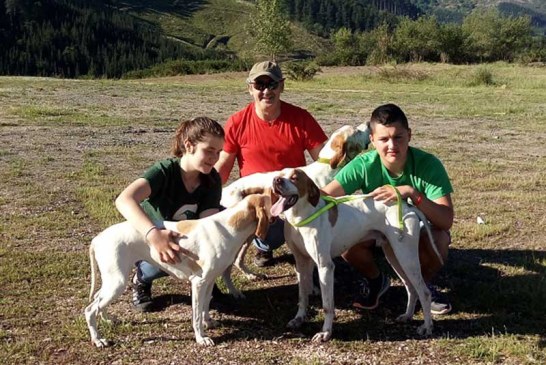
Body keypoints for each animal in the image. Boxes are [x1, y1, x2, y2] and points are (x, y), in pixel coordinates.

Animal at [85, 192, 272, 346]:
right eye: (274, 196)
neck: (229, 227)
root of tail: (97, 239)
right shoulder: (198, 283)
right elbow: (196, 315)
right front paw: (201, 338)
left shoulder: (209, 281)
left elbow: (205, 305)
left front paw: (208, 322)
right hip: (117, 283)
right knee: (90, 310)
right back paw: (98, 340)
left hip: (112, 282)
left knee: (97, 300)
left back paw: (108, 319)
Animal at [219, 123, 368, 294]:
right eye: (356, 131)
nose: (368, 124)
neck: (327, 169)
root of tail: (224, 191)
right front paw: (313, 288)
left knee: (238, 259)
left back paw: (251, 275)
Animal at [270, 168, 440, 342]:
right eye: (280, 173)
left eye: (295, 178)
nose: (276, 180)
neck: (301, 217)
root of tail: (407, 206)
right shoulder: (301, 263)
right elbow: (302, 296)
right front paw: (299, 318)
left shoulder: (325, 266)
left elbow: (327, 305)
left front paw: (326, 333)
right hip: (395, 256)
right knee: (411, 288)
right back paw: (407, 316)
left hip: (406, 257)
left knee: (424, 292)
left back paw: (427, 327)